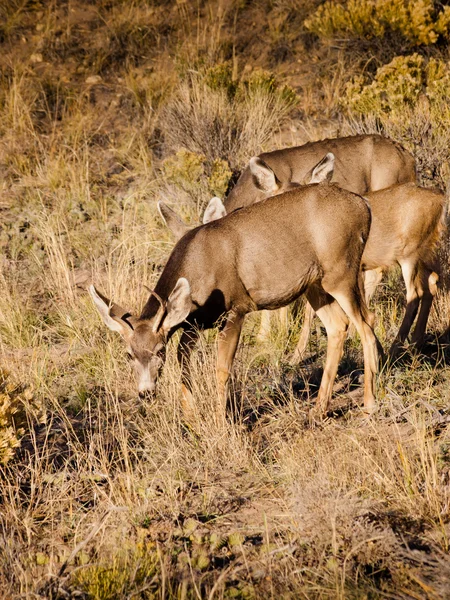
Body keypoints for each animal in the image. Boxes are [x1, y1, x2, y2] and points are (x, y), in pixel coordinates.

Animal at [89, 154, 380, 422]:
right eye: (128, 354)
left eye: (159, 350)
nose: (145, 392)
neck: (198, 266)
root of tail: (363, 205)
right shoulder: (194, 322)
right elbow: (184, 364)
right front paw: (190, 418)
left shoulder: (235, 309)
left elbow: (222, 368)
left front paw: (221, 421)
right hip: (315, 283)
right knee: (338, 325)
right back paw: (319, 409)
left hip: (342, 269)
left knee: (366, 323)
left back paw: (369, 405)